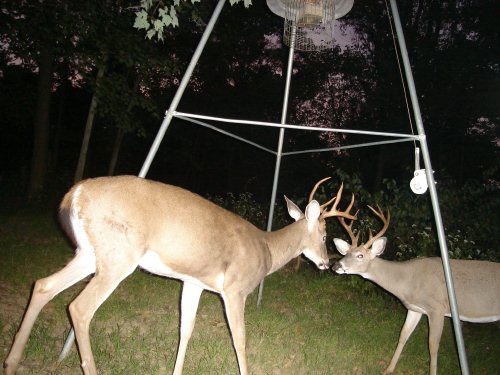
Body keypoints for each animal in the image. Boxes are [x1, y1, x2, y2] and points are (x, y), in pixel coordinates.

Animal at [4, 176, 356, 375]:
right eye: (325, 235)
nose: (326, 264)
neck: (266, 251)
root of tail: (74, 193)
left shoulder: (193, 283)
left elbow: (185, 330)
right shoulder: (234, 289)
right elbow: (240, 340)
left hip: (89, 253)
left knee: (43, 285)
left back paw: (10, 363)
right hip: (119, 255)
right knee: (79, 308)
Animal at [332, 204, 500, 375]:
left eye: (360, 255)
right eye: (345, 253)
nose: (335, 266)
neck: (408, 283)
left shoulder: (438, 308)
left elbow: (432, 345)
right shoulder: (415, 308)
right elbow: (403, 335)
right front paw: (388, 369)